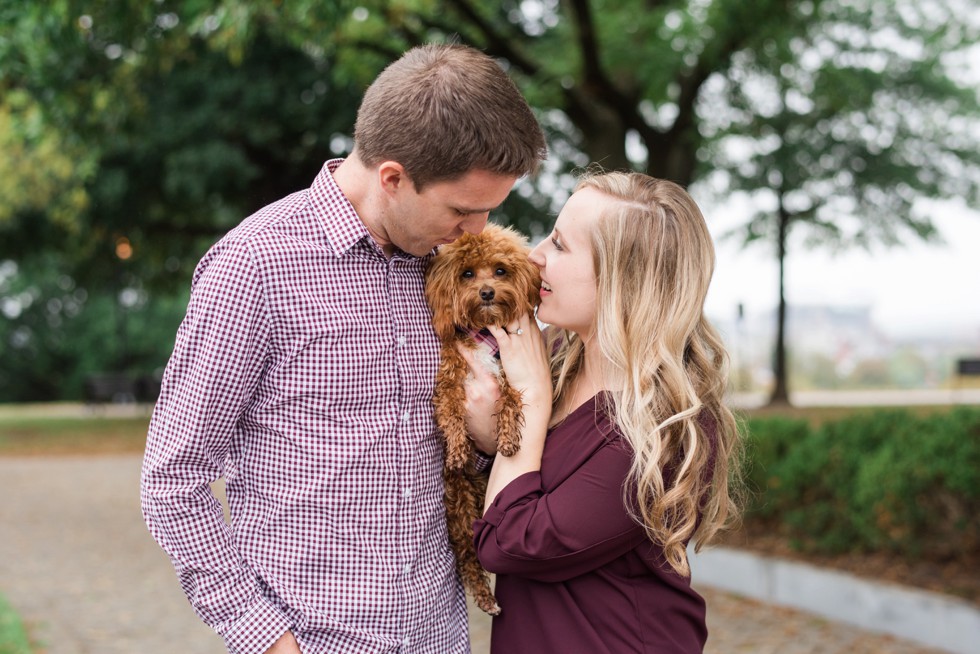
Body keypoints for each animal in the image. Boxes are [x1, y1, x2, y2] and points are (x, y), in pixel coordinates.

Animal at [424, 223, 540, 616]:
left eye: (500, 270)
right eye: (467, 274)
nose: (487, 292)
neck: (485, 331)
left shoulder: (507, 376)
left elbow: (509, 401)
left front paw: (508, 438)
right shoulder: (447, 381)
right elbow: (451, 413)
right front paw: (458, 449)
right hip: (457, 503)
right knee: (467, 557)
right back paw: (485, 597)